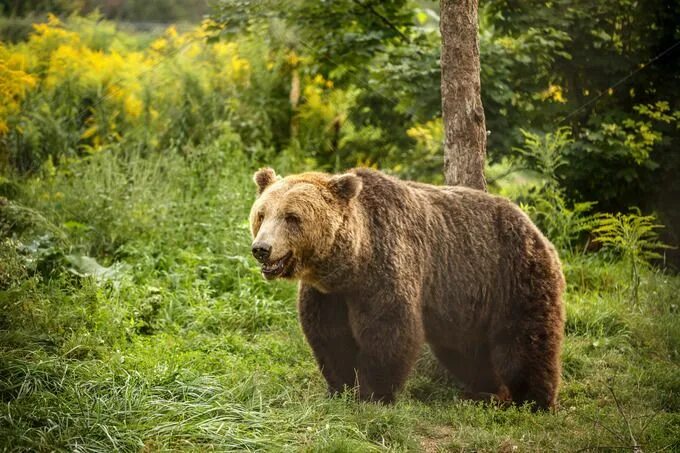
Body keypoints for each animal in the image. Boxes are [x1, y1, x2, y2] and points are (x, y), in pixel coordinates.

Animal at [248, 168, 564, 408]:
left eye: (292, 217)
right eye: (262, 214)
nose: (262, 249)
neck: (352, 264)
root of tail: (534, 226)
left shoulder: (385, 268)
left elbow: (389, 331)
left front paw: (374, 394)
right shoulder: (328, 295)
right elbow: (330, 337)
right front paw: (341, 387)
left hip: (513, 276)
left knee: (525, 342)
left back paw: (534, 400)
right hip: (465, 302)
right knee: (467, 351)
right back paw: (486, 390)